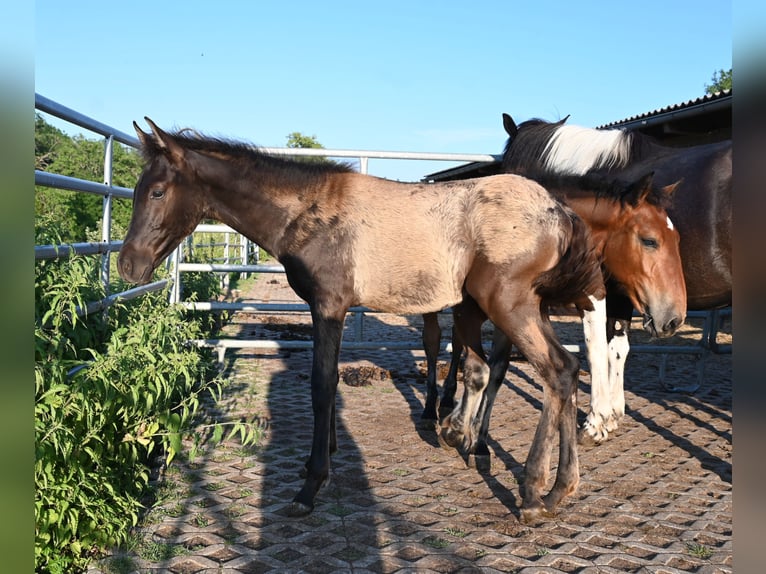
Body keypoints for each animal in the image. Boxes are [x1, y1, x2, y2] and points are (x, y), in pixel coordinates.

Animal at [118, 118, 606, 523]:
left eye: (157, 192)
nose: (127, 266)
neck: (307, 210)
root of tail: (561, 212)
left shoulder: (329, 306)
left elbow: (322, 384)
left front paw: (311, 483)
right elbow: (330, 381)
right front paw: (324, 458)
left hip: (507, 304)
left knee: (555, 370)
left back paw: (532, 492)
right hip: (516, 307)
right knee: (553, 369)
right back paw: (555, 487)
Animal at [422, 170, 687, 450]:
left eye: (677, 239)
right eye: (649, 240)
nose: (674, 318)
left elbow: (498, 368)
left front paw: (474, 436)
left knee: (455, 342)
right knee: (433, 342)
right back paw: (430, 410)